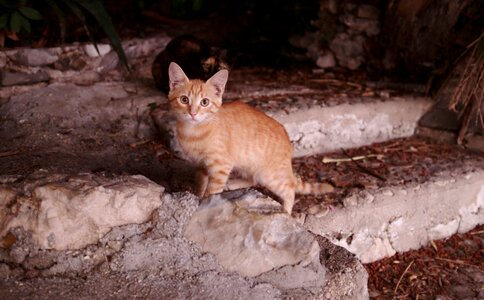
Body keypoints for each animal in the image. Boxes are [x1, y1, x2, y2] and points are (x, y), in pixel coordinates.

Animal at [167, 62, 332, 214]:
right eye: (184, 99)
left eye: (205, 102)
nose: (193, 113)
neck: (193, 133)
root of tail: (287, 139)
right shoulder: (200, 166)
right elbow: (200, 185)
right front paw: (198, 197)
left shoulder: (221, 166)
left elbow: (212, 191)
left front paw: (204, 205)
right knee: (253, 179)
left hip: (269, 175)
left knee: (289, 188)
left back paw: (286, 212)